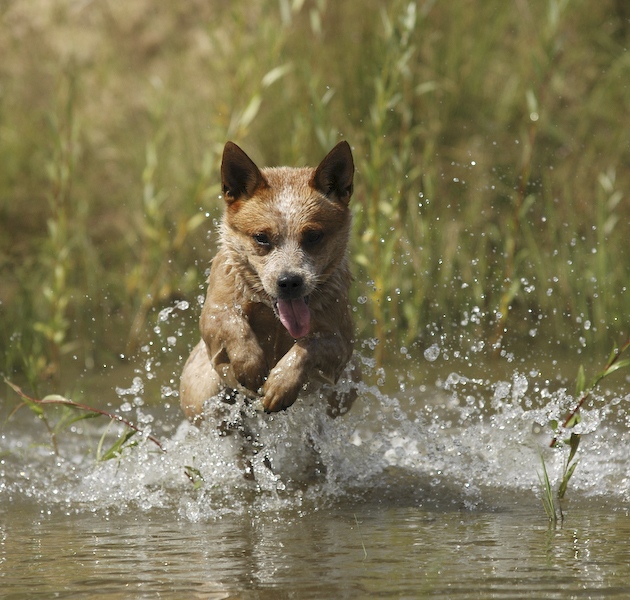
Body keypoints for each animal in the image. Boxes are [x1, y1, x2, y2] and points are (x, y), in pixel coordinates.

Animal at [181, 139, 360, 426]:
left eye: (313, 236)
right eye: (261, 237)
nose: (289, 281)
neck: (273, 319)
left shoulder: (342, 343)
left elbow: (310, 345)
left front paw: (280, 384)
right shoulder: (214, 314)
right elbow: (232, 323)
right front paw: (251, 367)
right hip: (202, 391)